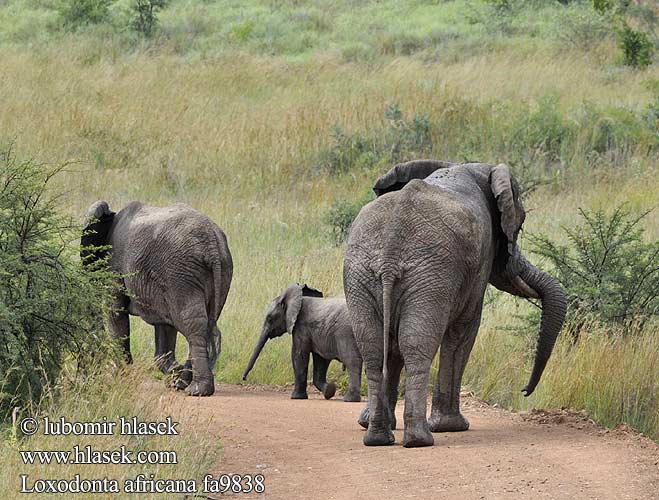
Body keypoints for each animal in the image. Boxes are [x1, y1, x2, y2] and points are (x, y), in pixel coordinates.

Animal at [81, 201, 233, 396]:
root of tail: (212, 243)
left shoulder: (115, 265)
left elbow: (115, 312)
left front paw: (119, 378)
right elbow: (164, 325)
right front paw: (173, 374)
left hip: (181, 276)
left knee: (192, 323)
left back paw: (196, 390)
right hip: (218, 271)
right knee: (203, 323)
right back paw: (182, 382)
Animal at [346, 161, 568, 450]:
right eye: (518, 227)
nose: (524, 390)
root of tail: (391, 251)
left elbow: (392, 348)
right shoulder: (479, 262)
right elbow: (464, 331)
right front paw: (452, 427)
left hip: (362, 274)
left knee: (375, 349)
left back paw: (376, 438)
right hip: (428, 277)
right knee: (416, 346)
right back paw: (420, 440)